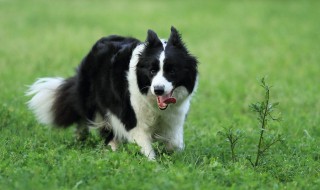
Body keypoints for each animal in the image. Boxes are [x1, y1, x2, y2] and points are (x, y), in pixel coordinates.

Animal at [26, 26, 198, 160]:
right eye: (152, 71)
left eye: (172, 71)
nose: (158, 90)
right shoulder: (133, 119)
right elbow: (146, 148)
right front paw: (153, 165)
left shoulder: (174, 120)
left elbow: (175, 143)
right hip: (91, 101)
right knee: (85, 119)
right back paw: (85, 140)